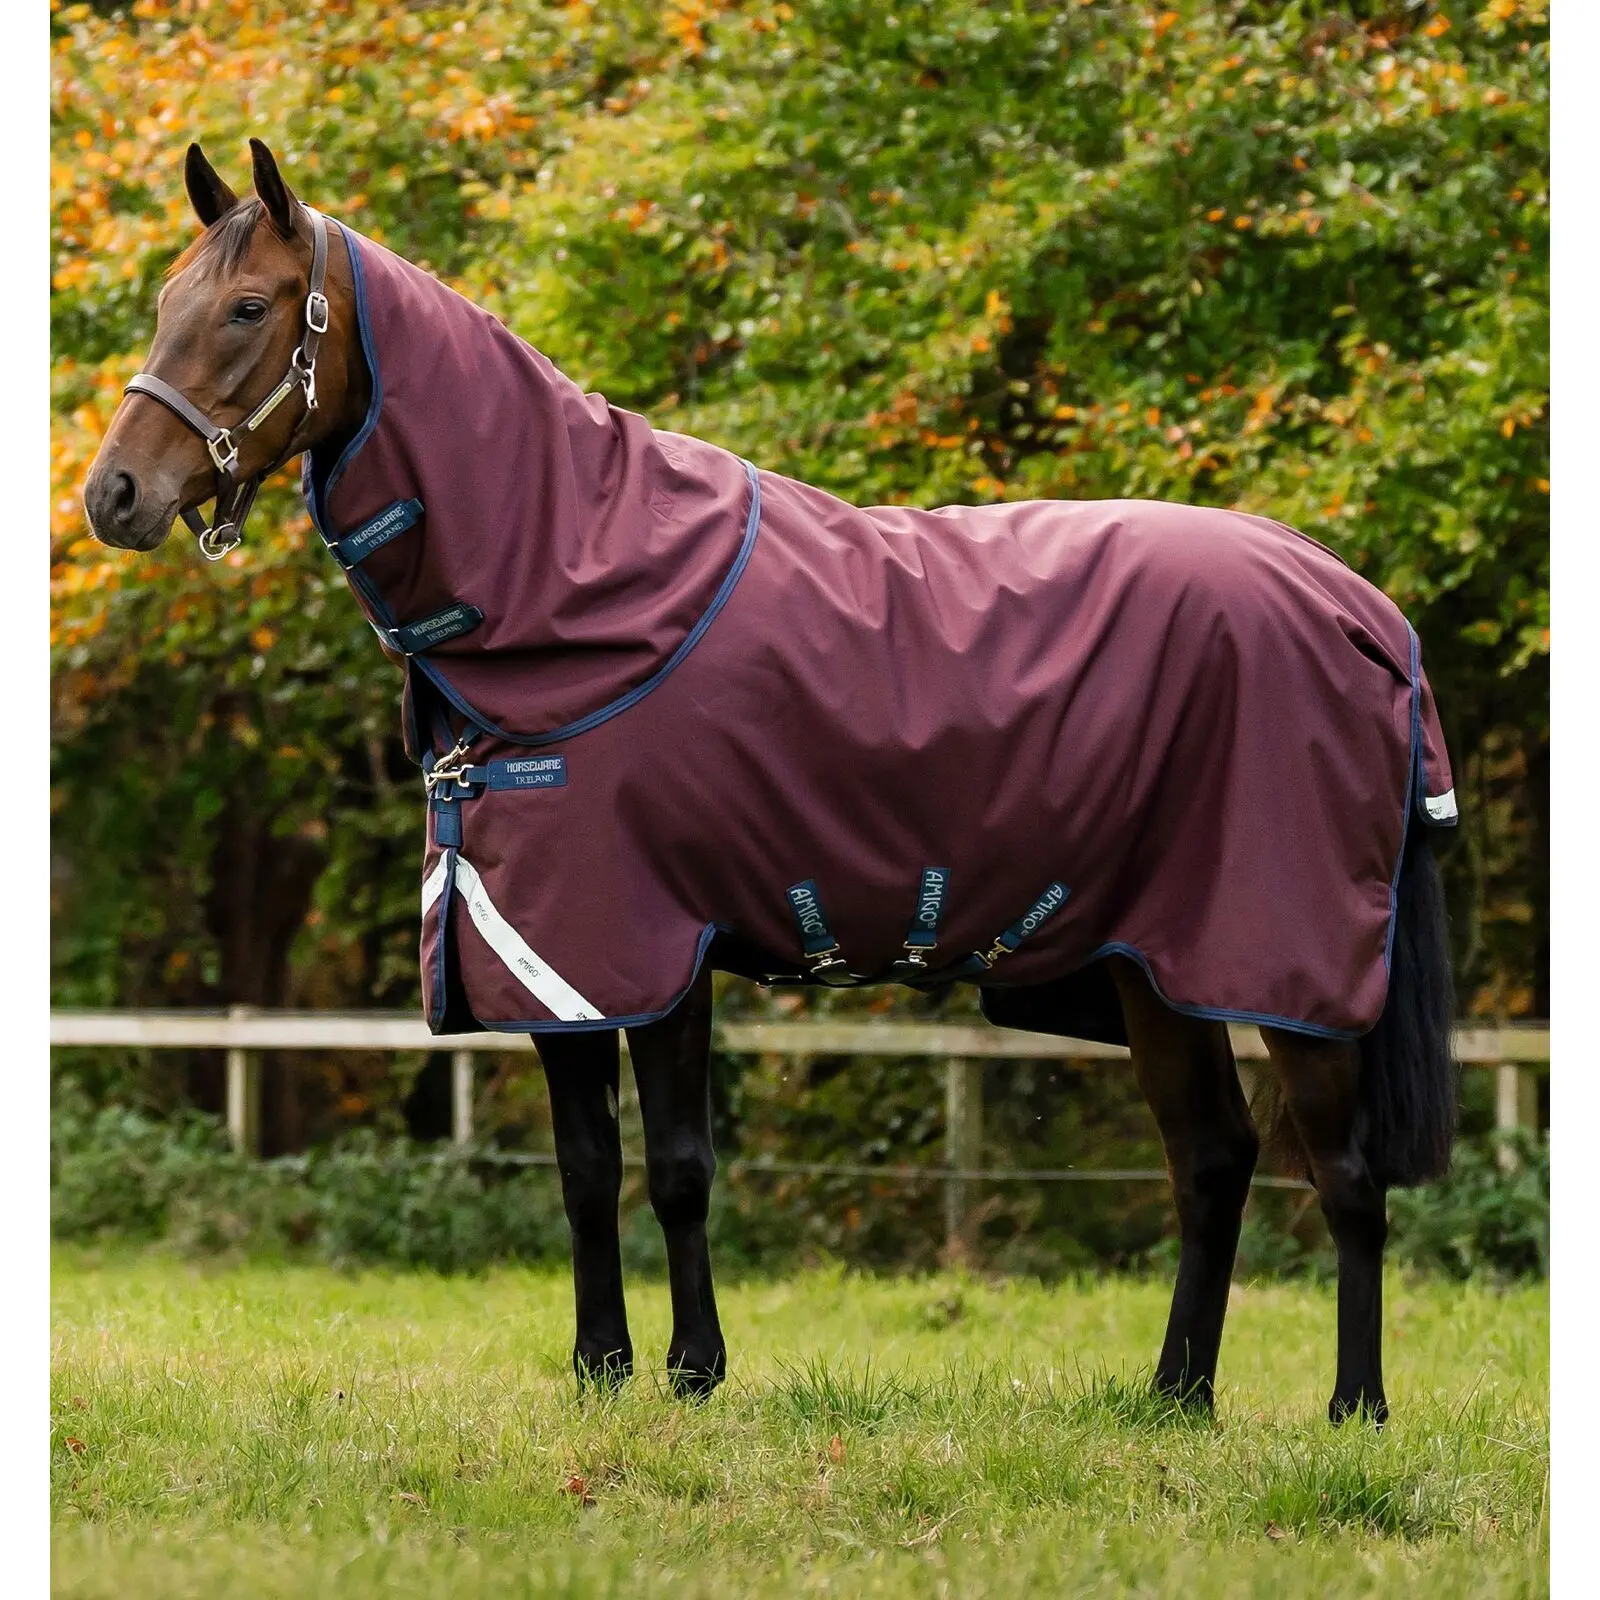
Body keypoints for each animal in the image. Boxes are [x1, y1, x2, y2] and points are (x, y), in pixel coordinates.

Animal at [83, 140, 1459, 1425]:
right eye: (163, 300)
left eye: (246, 309)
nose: (114, 495)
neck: (577, 578)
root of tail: (1362, 609)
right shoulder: (545, 952)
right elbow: (586, 1166)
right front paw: (599, 1368)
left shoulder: (652, 942)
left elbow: (679, 1164)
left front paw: (693, 1370)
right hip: (1156, 970)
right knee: (1212, 1158)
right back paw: (1176, 1397)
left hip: (1285, 969)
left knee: (1343, 1176)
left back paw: (1354, 1408)